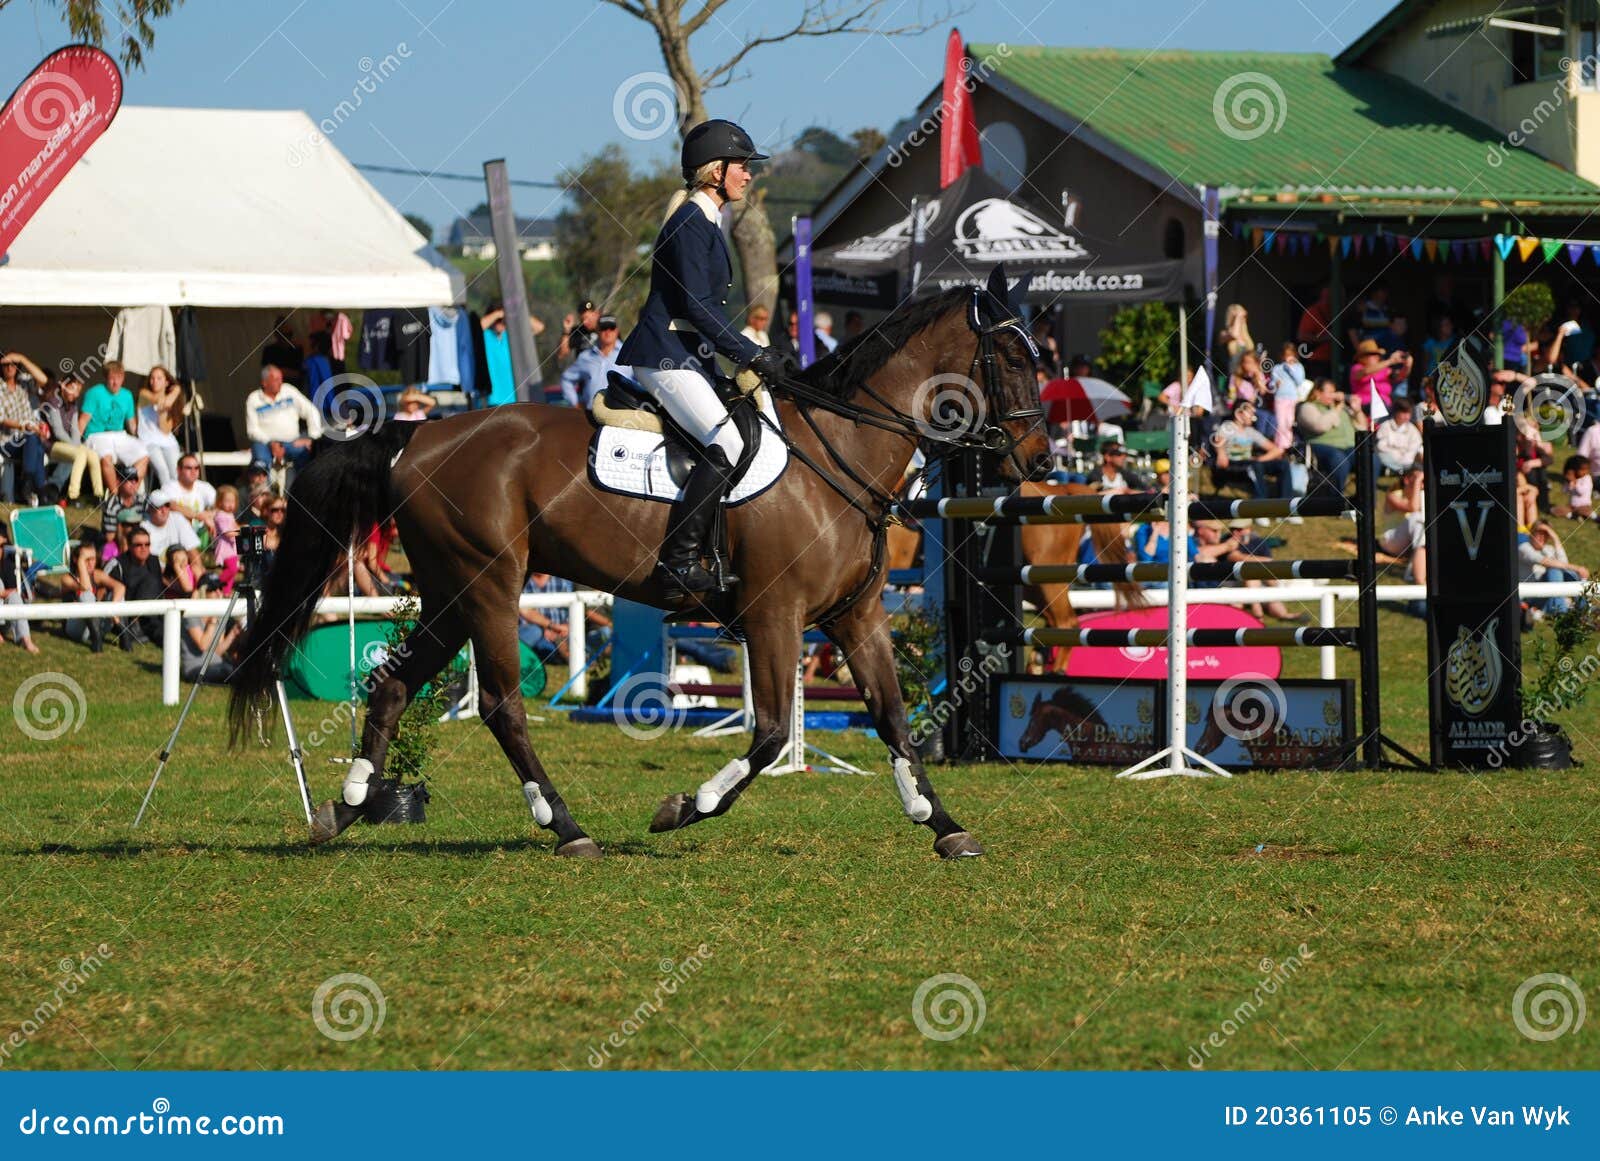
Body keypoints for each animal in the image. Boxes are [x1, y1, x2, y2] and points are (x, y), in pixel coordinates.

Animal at [228, 267, 1052, 860]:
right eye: (1013, 355)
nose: (1040, 459)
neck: (839, 450)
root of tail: (414, 437)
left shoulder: (856, 615)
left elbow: (892, 718)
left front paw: (942, 822)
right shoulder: (775, 614)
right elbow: (770, 732)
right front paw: (686, 807)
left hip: (449, 591)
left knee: (394, 684)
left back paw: (346, 807)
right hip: (489, 585)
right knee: (500, 705)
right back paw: (566, 827)